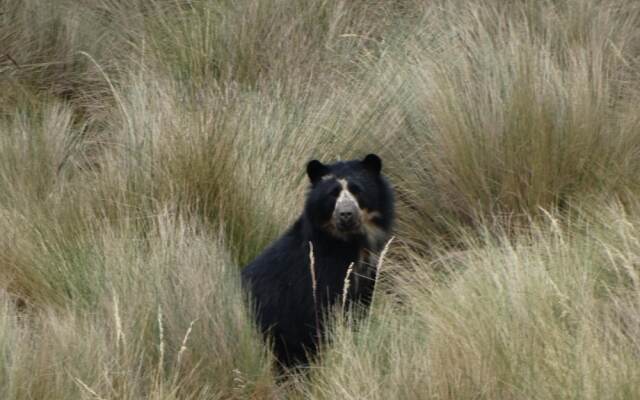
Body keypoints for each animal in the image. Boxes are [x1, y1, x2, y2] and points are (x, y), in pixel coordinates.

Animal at [240, 155, 392, 368]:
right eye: (332, 195)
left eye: (358, 190)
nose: (346, 214)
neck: (348, 243)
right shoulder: (317, 278)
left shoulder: (366, 277)